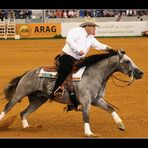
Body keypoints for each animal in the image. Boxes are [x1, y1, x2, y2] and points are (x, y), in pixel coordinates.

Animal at [0, 49, 143, 137]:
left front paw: (120, 125)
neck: (94, 75)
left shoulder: (96, 100)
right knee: (7, 107)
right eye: (127, 61)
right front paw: (89, 133)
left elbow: (110, 108)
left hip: (38, 100)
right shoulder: (86, 101)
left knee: (23, 113)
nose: (140, 73)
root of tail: (27, 73)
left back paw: (28, 128)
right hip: (20, 93)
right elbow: (86, 116)